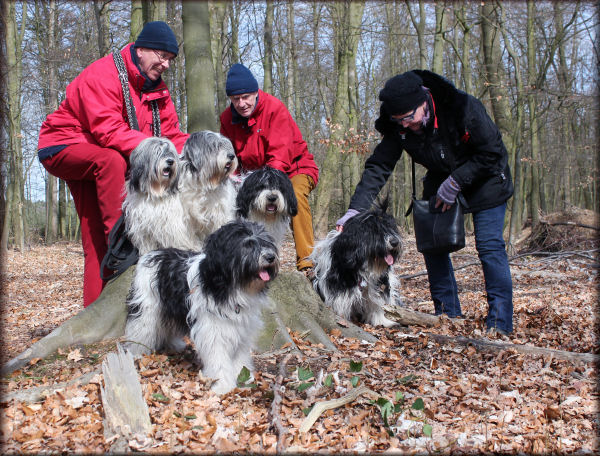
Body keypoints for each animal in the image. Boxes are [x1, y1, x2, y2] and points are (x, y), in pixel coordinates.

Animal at [125, 219, 280, 394]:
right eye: (248, 244)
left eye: (266, 242)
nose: (271, 257)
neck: (230, 287)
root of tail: (153, 253)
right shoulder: (212, 332)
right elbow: (218, 360)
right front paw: (222, 385)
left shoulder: (241, 330)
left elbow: (239, 357)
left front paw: (243, 378)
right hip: (146, 307)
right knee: (140, 330)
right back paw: (136, 353)